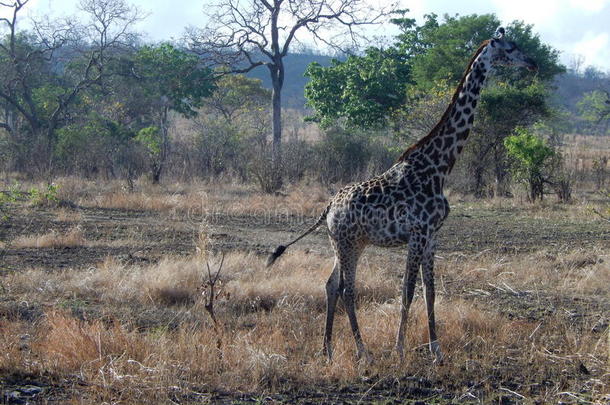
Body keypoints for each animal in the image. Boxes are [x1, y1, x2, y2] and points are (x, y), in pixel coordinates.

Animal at [268, 29, 536, 362]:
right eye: (511, 49)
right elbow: (407, 290)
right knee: (346, 289)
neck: (439, 166)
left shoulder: (432, 235)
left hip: (348, 243)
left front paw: (437, 351)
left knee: (331, 285)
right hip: (346, 243)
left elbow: (430, 291)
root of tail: (328, 206)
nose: (533, 63)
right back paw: (363, 351)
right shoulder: (418, 232)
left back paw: (327, 350)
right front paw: (400, 349)